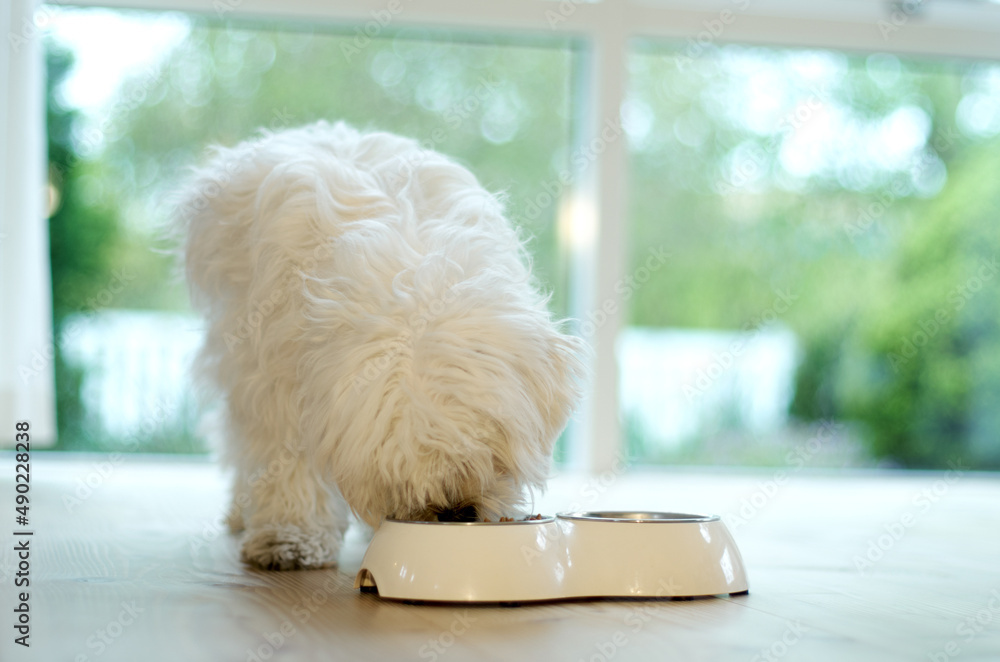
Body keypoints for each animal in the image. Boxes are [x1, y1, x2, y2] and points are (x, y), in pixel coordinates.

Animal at [177, 123, 584, 572]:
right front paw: (291, 536)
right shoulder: (275, 374)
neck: (417, 281)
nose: (455, 512)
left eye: (490, 451)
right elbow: (286, 459)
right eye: (402, 464)